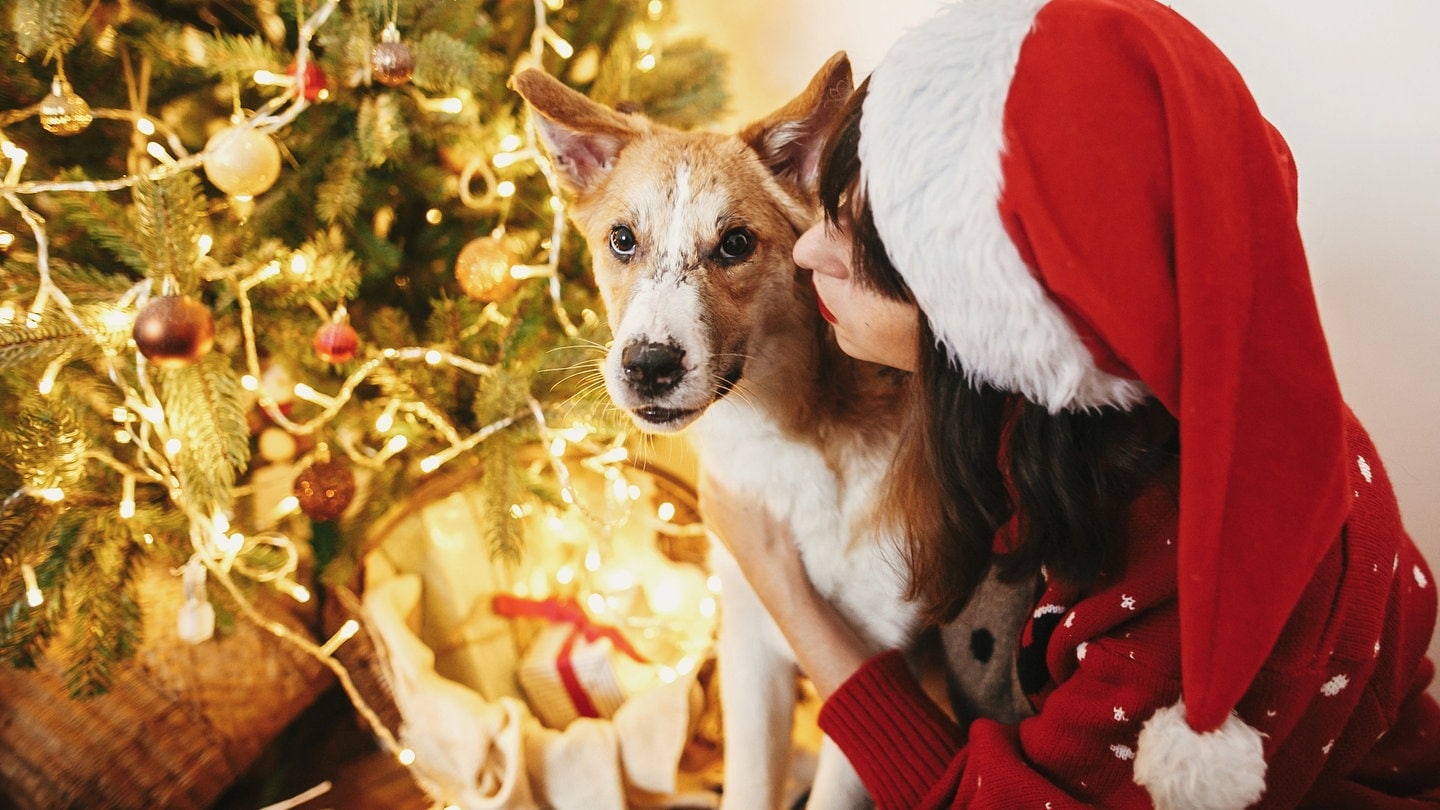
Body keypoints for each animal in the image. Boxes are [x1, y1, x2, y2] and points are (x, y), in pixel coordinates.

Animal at [512, 53, 1031, 801]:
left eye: (735, 244)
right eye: (622, 240)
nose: (648, 365)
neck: (787, 438)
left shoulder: (877, 649)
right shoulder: (750, 644)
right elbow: (751, 785)